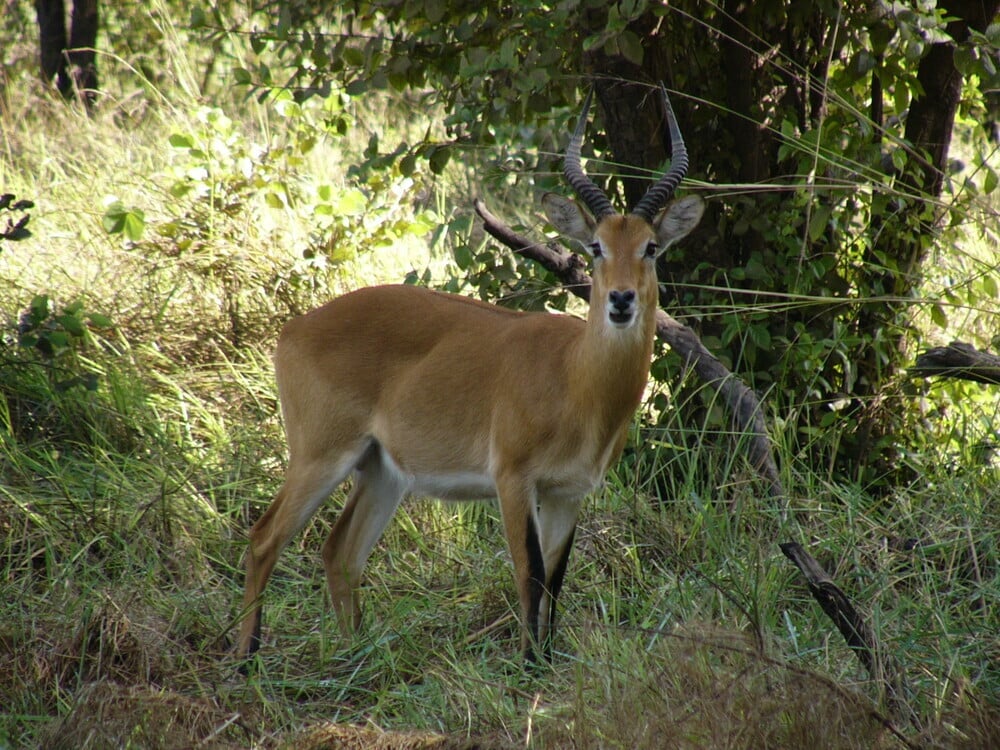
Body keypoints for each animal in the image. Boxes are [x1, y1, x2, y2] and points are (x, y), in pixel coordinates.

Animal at [236, 86, 704, 664]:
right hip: (320, 455)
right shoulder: (513, 479)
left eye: (651, 247)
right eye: (595, 247)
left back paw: (359, 655)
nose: (621, 300)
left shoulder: (569, 491)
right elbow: (530, 574)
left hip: (382, 469)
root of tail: (295, 328)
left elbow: (557, 580)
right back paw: (247, 657)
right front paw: (528, 668)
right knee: (264, 537)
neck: (577, 380)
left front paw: (545, 662)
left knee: (340, 552)